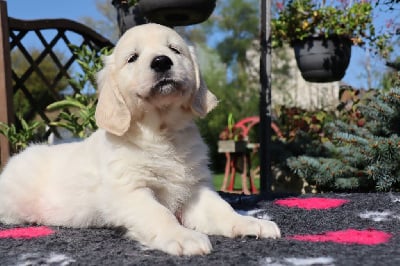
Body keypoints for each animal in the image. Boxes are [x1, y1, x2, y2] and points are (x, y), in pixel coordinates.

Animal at [0, 22, 278, 256]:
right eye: (132, 58)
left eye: (174, 50)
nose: (162, 61)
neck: (161, 133)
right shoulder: (129, 190)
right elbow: (159, 213)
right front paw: (182, 236)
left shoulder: (195, 190)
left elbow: (222, 208)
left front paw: (249, 222)